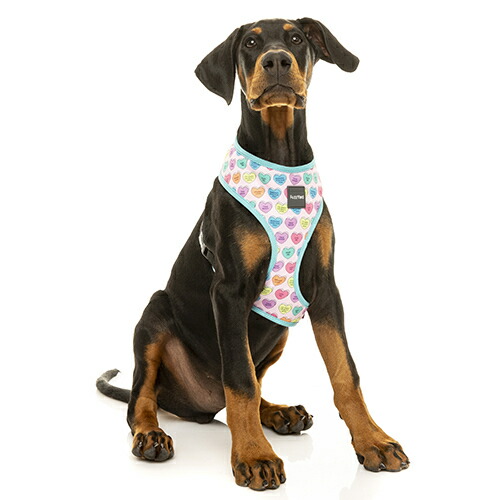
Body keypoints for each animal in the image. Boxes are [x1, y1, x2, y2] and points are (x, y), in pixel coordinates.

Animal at [97, 17, 409, 491]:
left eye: (297, 39)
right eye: (249, 43)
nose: (276, 60)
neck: (281, 161)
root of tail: (194, 403)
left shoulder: (325, 289)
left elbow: (345, 372)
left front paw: (373, 441)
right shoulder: (229, 291)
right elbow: (239, 379)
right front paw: (254, 456)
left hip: (277, 334)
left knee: (245, 389)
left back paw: (279, 414)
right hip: (154, 316)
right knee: (144, 399)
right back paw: (152, 435)